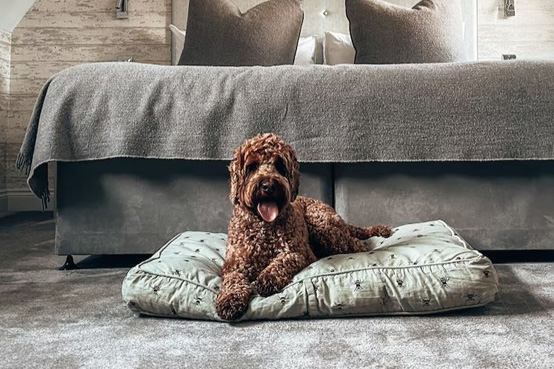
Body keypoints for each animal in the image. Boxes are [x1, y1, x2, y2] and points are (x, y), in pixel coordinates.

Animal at [213, 133, 390, 320]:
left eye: (279, 165)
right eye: (251, 166)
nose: (268, 186)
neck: (263, 227)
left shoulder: (300, 253)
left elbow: (283, 260)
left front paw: (267, 278)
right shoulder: (234, 265)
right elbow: (232, 281)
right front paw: (230, 300)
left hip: (322, 226)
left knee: (356, 243)